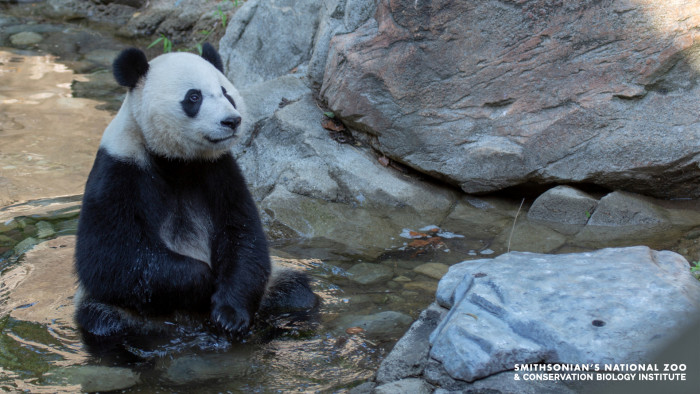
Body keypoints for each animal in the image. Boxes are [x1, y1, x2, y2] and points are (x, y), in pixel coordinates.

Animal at [75, 43, 316, 342]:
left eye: (226, 92)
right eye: (194, 97)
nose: (232, 121)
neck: (176, 160)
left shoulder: (220, 171)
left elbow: (243, 236)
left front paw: (230, 315)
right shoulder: (118, 170)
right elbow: (111, 258)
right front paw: (204, 283)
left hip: (272, 289)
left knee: (296, 292)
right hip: (116, 309)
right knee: (104, 321)